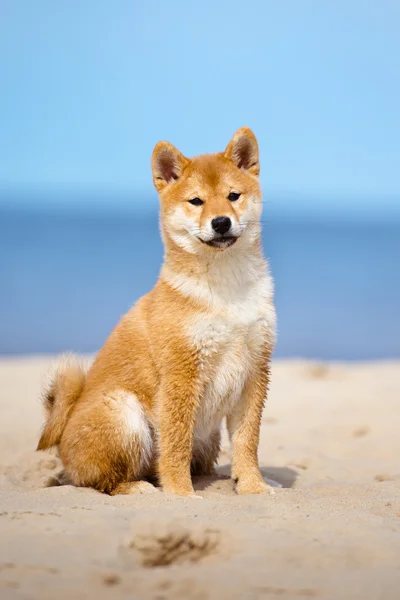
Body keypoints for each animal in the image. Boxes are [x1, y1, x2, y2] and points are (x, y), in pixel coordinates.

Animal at [36, 126, 276, 496]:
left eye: (233, 196)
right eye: (196, 201)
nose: (221, 222)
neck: (225, 288)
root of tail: (62, 436)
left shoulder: (255, 369)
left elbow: (247, 441)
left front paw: (252, 485)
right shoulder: (181, 371)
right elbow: (175, 445)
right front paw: (180, 494)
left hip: (207, 438)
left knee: (194, 462)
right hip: (124, 413)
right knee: (100, 480)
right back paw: (136, 487)